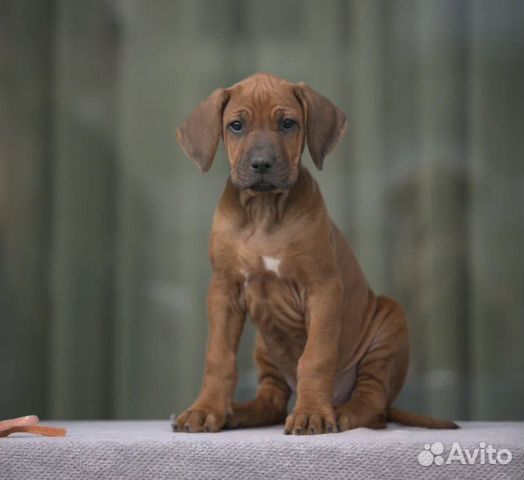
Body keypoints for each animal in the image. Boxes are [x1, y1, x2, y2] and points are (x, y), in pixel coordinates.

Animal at [174, 72, 456, 436]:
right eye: (236, 125)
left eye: (288, 123)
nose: (261, 164)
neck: (264, 213)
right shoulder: (224, 291)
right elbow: (218, 356)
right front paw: (206, 409)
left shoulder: (322, 289)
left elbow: (316, 357)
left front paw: (311, 414)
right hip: (265, 343)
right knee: (272, 399)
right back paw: (240, 411)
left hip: (389, 321)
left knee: (373, 401)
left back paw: (345, 413)